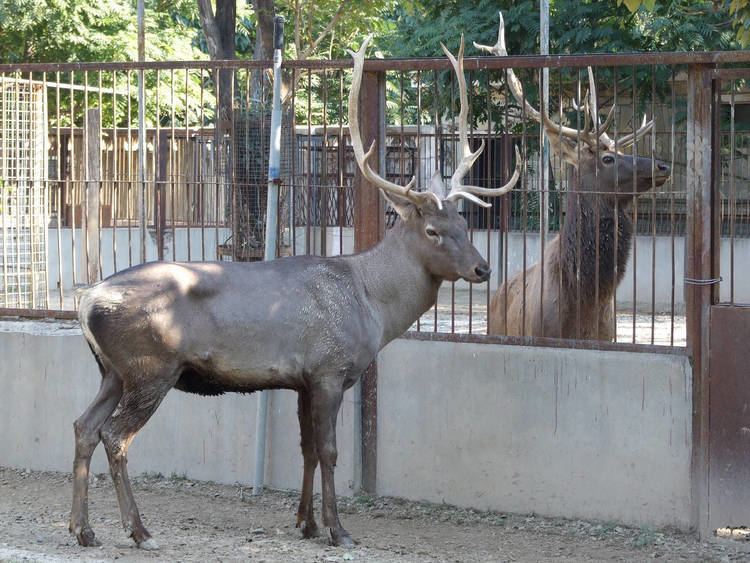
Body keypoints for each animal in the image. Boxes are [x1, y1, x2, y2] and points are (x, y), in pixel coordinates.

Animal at [69, 35, 524, 552]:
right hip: (151, 367)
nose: (482, 268)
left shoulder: (303, 377)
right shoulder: (329, 368)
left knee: (83, 426)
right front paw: (338, 529)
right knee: (115, 435)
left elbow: (305, 449)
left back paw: (83, 529)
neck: (371, 302)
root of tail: (85, 301)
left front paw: (305, 522)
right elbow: (328, 450)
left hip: (113, 370)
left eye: (465, 223)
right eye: (432, 230)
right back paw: (140, 530)